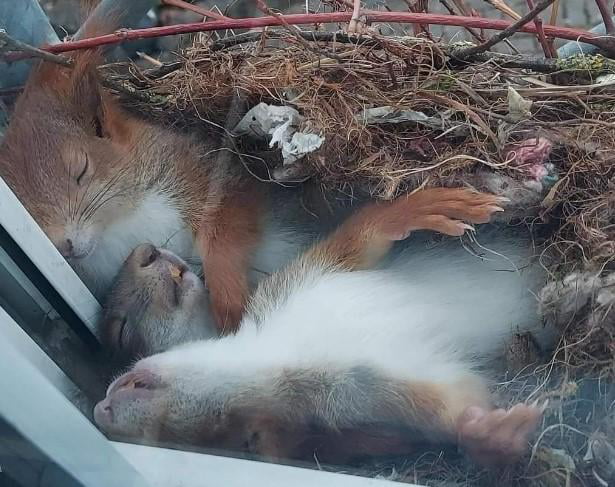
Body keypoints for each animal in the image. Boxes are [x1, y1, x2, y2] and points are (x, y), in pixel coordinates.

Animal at [95, 188, 548, 468]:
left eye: (123, 335)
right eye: (243, 440)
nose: (102, 411)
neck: (280, 348)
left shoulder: (301, 279)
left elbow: (361, 238)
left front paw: (421, 207)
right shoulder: (367, 394)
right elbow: (453, 405)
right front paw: (490, 434)